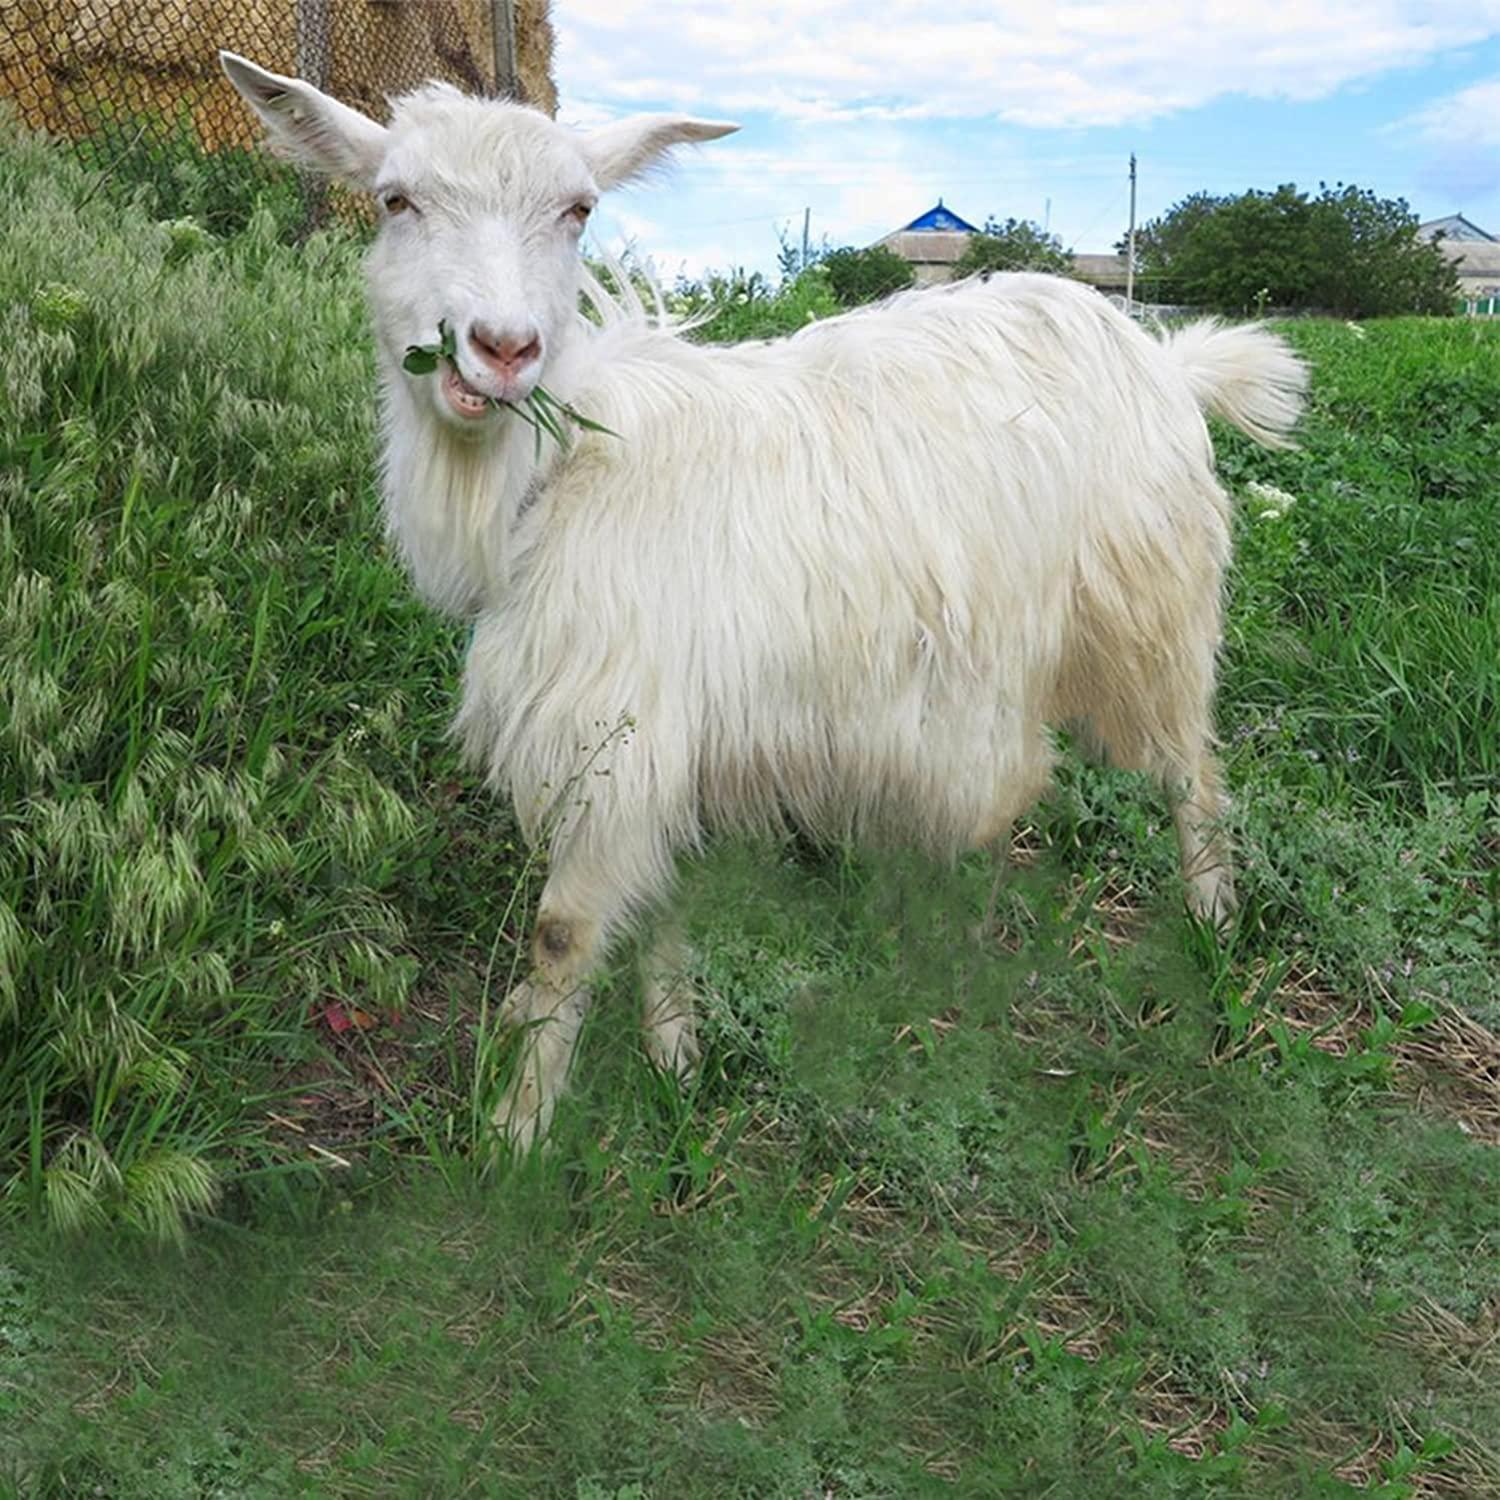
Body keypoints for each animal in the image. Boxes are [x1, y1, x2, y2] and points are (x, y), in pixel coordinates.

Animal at [222, 53, 1308, 1150]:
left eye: (578, 210)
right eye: (395, 200)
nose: (503, 349)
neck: (558, 474)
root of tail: (1166, 359)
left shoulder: (615, 728)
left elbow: (563, 936)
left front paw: (516, 1132)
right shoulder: (651, 743)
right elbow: (653, 908)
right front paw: (674, 1061)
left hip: (1152, 617)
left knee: (1193, 775)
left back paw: (1215, 929)